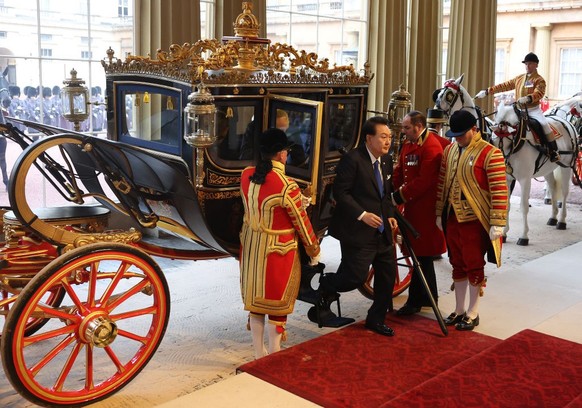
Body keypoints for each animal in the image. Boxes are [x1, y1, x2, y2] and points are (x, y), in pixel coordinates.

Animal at [492, 101, 580, 245]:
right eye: (492, 137)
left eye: (503, 138)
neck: (518, 142)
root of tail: (567, 123)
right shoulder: (508, 179)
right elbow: (507, 205)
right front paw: (504, 234)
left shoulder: (525, 179)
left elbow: (523, 206)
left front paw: (524, 235)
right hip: (548, 169)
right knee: (552, 187)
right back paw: (553, 217)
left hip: (567, 166)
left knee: (564, 192)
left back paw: (561, 221)